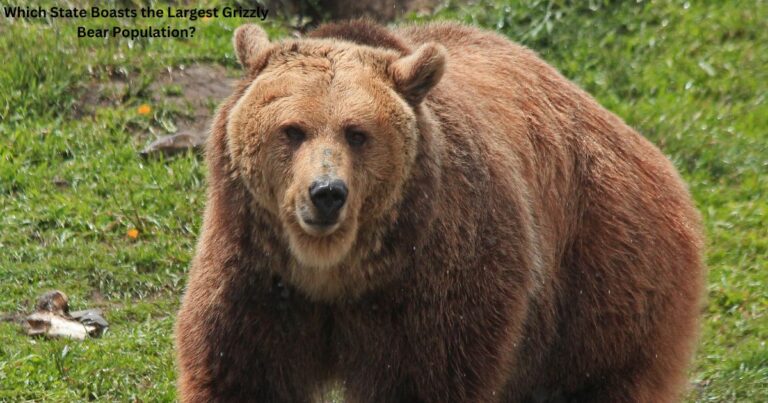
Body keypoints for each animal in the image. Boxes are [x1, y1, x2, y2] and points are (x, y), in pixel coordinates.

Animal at [177, 19, 704, 403]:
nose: (326, 192)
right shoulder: (256, 276)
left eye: (357, 133)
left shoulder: (435, 279)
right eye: (292, 130)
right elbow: (242, 373)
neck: (333, 272)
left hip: (601, 279)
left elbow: (424, 377)